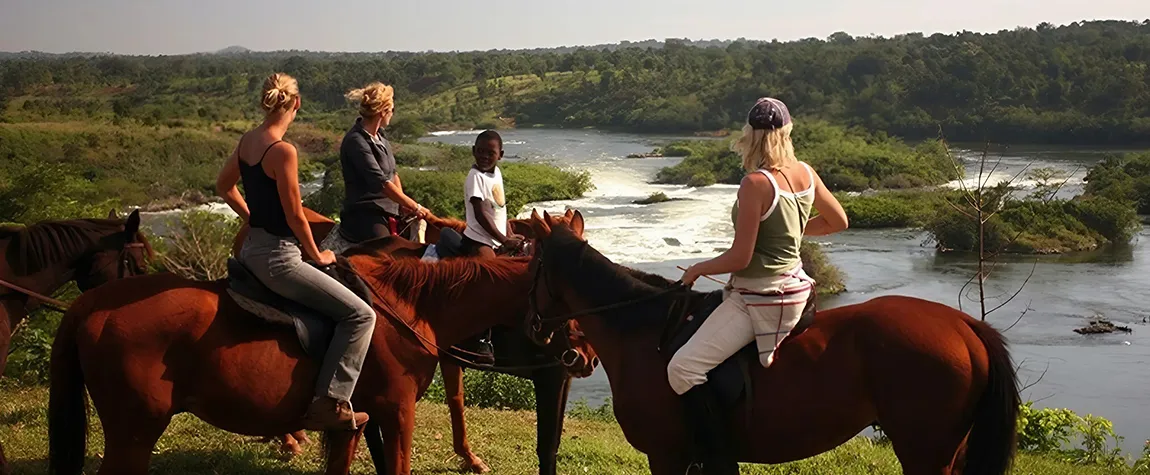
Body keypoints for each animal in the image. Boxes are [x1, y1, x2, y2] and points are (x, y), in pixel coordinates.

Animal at [48, 251, 575, 473]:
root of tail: (93, 305)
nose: (583, 356)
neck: (409, 308)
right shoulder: (396, 412)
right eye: (570, 292)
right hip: (135, 432)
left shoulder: (354, 422)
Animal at [524, 217, 1025, 473]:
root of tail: (963, 325)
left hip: (926, 452)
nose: (535, 328)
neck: (645, 334)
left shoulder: (666, 456)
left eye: (528, 259)